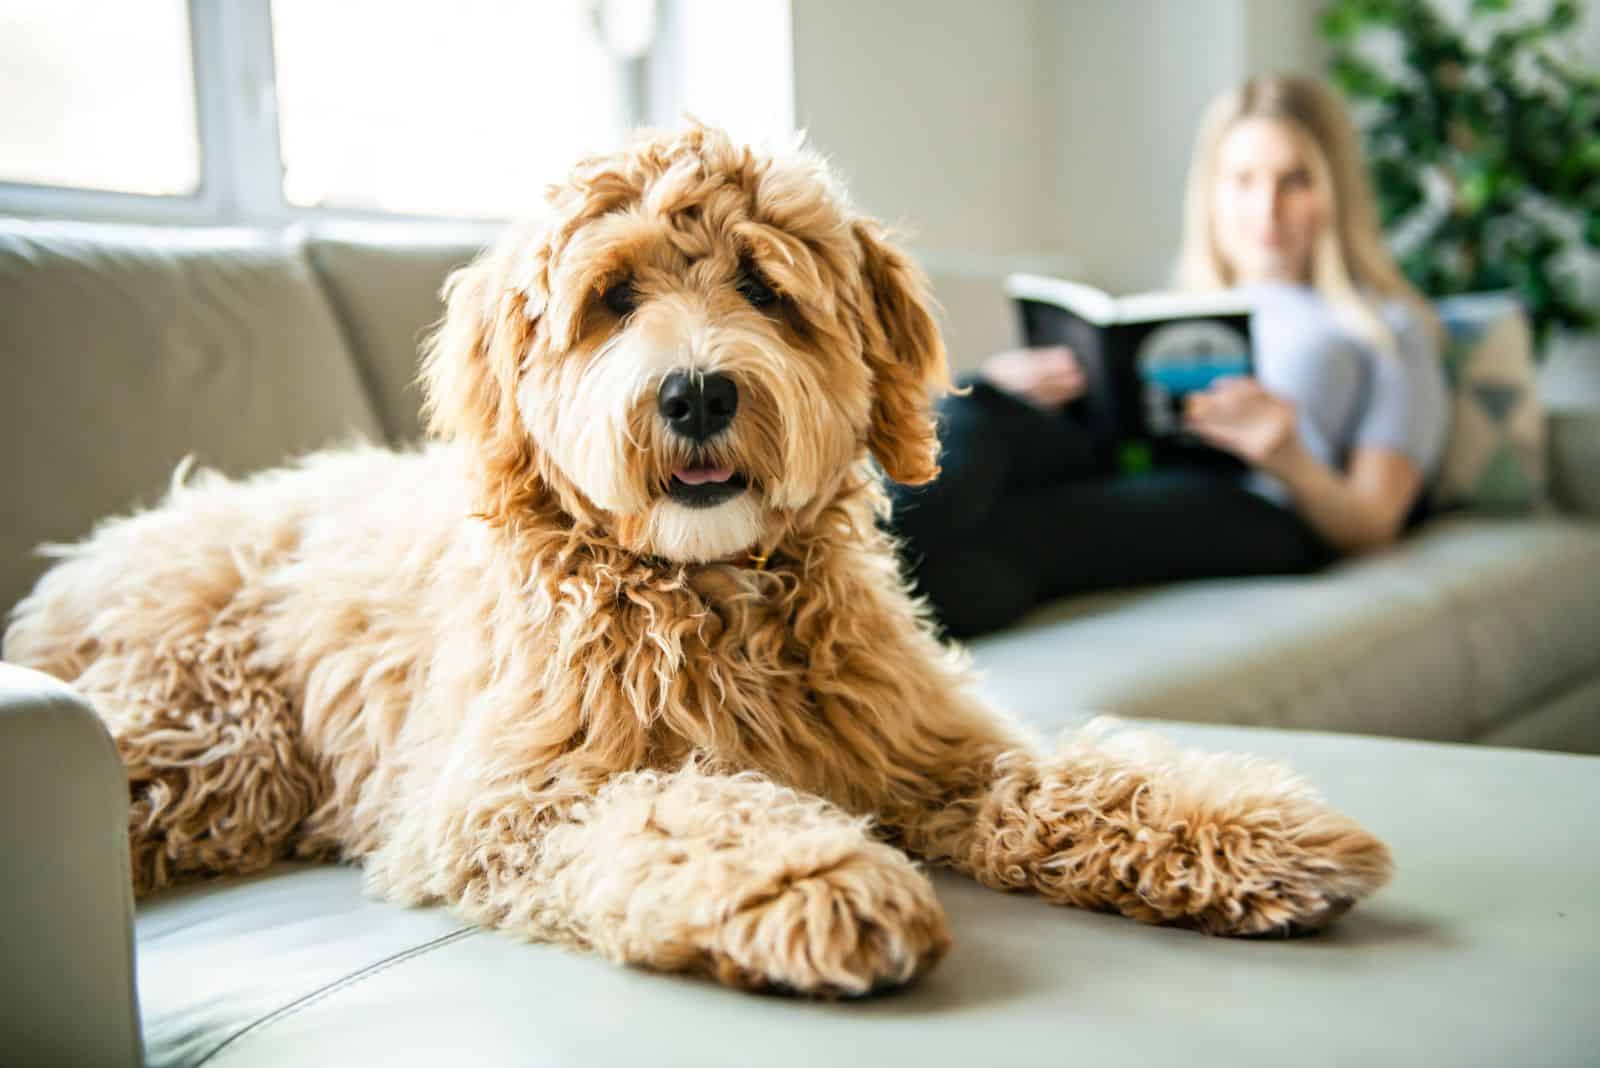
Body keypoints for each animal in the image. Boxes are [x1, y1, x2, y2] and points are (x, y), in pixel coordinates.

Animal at [0, 127, 1388, 1004]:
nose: (698, 392)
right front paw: (815, 877)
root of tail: (101, 547)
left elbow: (1073, 776)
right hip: (209, 743)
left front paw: (1247, 829)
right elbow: (682, 806)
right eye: (614, 297)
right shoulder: (508, 802)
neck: (708, 593)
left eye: (765, 288)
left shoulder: (928, 747)